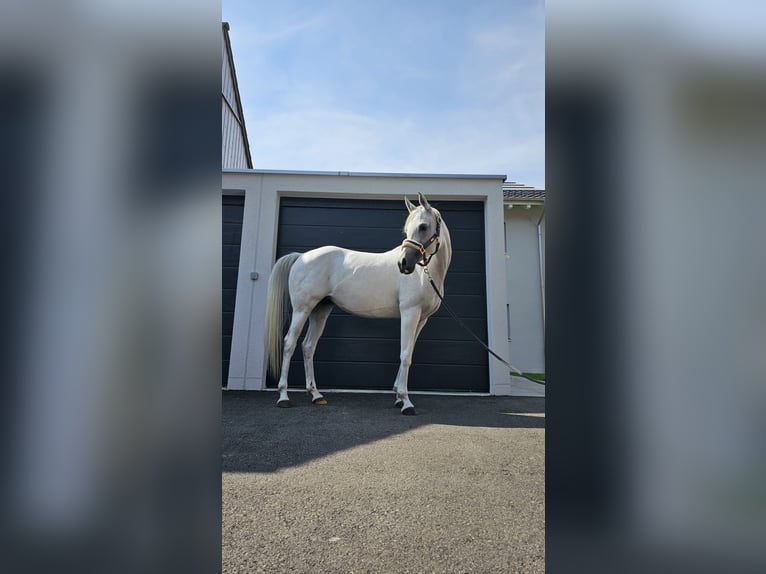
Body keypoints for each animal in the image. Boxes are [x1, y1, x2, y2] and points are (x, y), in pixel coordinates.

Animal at [263, 192, 451, 415]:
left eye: (423, 226)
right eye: (407, 230)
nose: (403, 264)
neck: (425, 274)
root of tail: (301, 257)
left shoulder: (421, 319)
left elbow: (409, 351)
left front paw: (398, 396)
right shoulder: (409, 314)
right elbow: (405, 355)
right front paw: (405, 402)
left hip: (320, 310)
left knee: (308, 346)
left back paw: (316, 394)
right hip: (302, 309)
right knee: (289, 344)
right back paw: (283, 396)